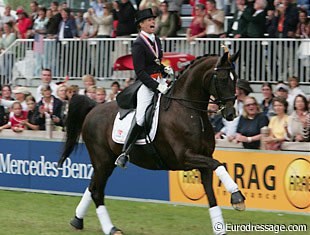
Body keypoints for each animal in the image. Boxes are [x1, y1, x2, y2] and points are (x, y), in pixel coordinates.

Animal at [59, 51, 246, 235]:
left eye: (235, 78)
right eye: (223, 78)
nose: (231, 113)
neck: (190, 111)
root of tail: (94, 108)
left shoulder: (204, 161)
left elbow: (212, 196)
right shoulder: (185, 158)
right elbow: (218, 164)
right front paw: (237, 197)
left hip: (106, 162)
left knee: (92, 187)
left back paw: (77, 221)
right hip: (102, 160)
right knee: (97, 192)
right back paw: (111, 229)